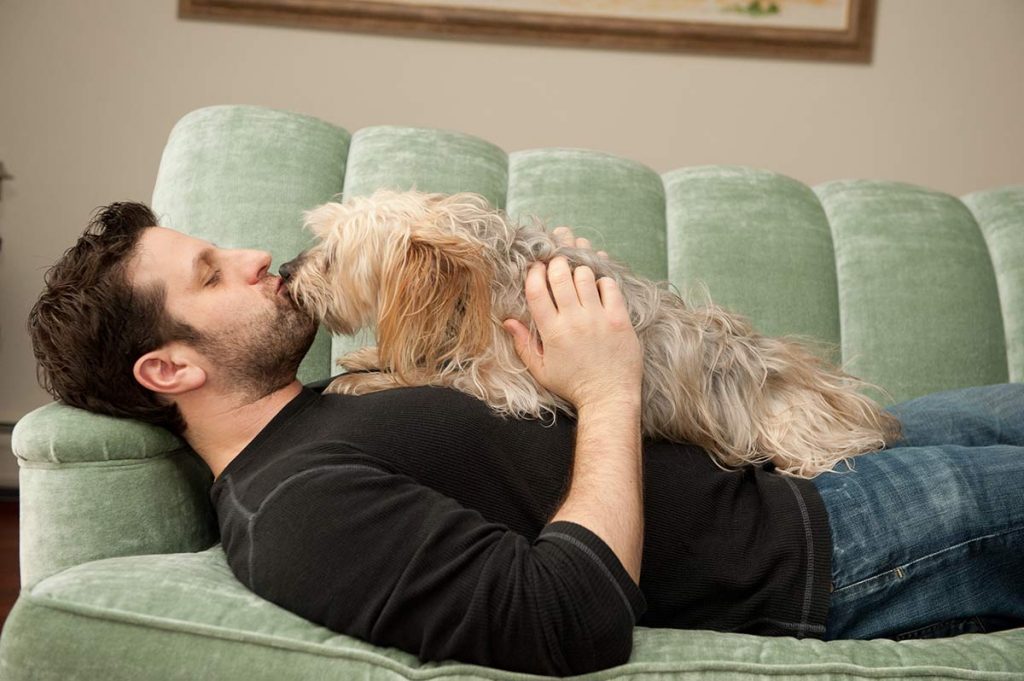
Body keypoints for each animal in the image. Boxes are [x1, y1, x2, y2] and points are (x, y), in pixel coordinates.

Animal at [280, 188, 897, 475]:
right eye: (319, 243)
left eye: (331, 258)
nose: (285, 269)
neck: (477, 278)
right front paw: (366, 360)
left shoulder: (512, 382)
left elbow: (439, 375)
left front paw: (366, 380)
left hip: (795, 433)